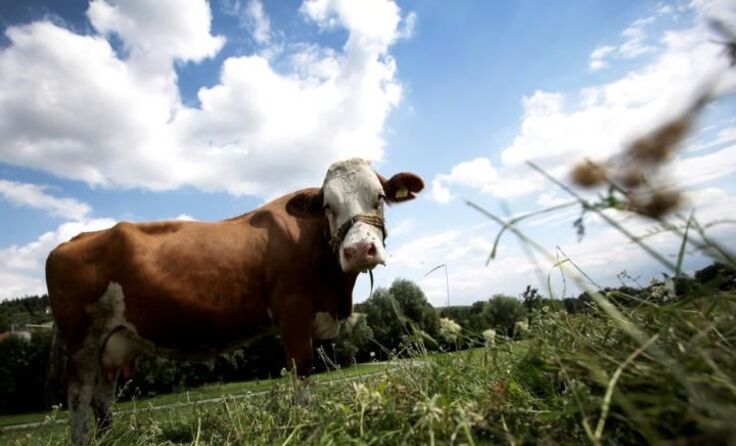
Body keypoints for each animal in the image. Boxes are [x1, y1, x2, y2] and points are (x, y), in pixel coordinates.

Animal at [45, 158, 423, 445]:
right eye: (328, 206)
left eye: (378, 197)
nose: (359, 250)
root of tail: (71, 241)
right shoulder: (293, 311)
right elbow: (301, 371)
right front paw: (306, 424)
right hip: (82, 339)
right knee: (79, 395)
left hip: (112, 342)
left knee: (103, 396)